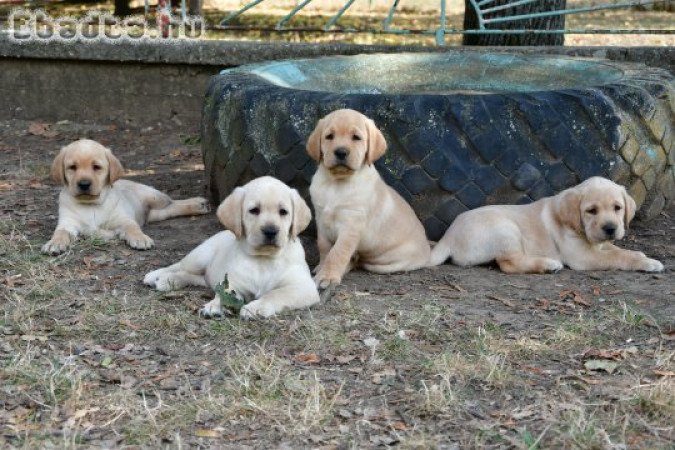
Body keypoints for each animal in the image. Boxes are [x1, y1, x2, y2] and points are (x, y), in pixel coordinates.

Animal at [42, 139, 209, 255]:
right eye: (72, 167)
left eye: (96, 167)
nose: (84, 184)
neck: (91, 205)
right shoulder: (67, 224)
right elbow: (60, 233)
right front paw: (54, 243)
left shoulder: (124, 219)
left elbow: (132, 227)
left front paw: (140, 239)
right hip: (157, 213)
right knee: (170, 210)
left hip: (155, 196)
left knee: (172, 202)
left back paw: (198, 203)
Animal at [142, 176, 320, 320]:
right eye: (254, 210)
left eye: (283, 212)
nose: (270, 231)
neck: (263, 259)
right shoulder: (232, 282)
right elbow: (224, 292)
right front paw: (215, 305)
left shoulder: (303, 287)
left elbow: (275, 294)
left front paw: (256, 307)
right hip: (201, 256)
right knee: (180, 266)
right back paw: (157, 276)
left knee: (199, 278)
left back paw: (169, 280)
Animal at [308, 109, 430, 288]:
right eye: (329, 136)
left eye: (356, 137)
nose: (341, 152)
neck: (336, 183)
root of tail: (428, 250)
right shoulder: (321, 219)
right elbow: (324, 247)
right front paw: (322, 267)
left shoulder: (350, 226)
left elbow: (337, 252)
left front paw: (327, 276)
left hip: (385, 263)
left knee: (360, 261)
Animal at [430, 176, 664, 274]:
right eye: (591, 211)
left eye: (617, 208)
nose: (610, 228)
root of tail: (448, 236)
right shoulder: (582, 257)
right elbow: (616, 256)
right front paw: (648, 262)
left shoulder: (599, 244)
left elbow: (615, 248)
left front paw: (638, 254)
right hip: (505, 228)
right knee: (509, 264)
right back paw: (548, 265)